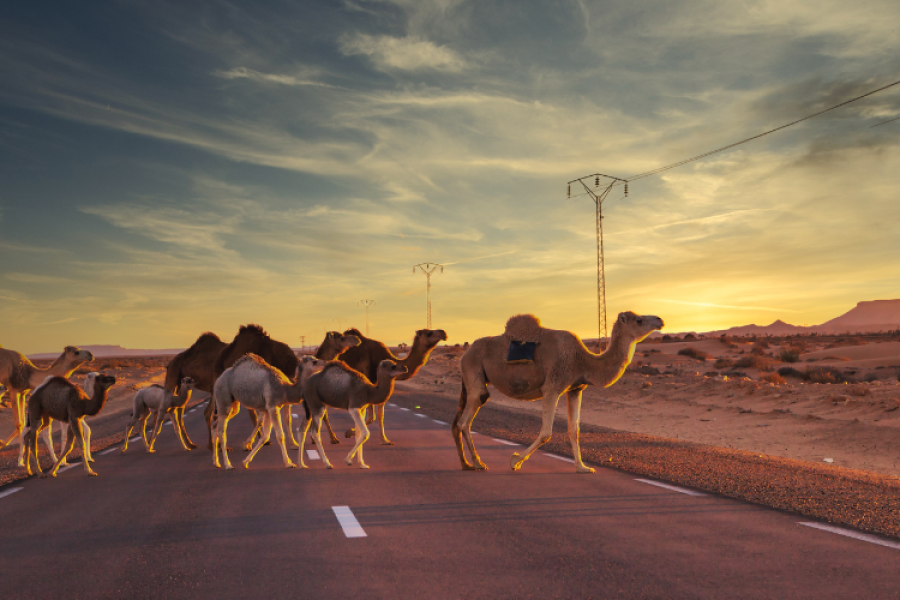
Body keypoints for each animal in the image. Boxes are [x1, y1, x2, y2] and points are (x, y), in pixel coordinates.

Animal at [454, 310, 664, 474]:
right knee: (466, 418)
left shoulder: (575, 389)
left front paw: (582, 467)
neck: (583, 361)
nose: (660, 319)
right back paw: (478, 463)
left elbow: (574, 430)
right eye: (639, 320)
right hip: (474, 371)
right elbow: (546, 432)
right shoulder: (552, 387)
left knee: (459, 422)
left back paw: (466, 464)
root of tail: (465, 355)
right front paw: (515, 461)